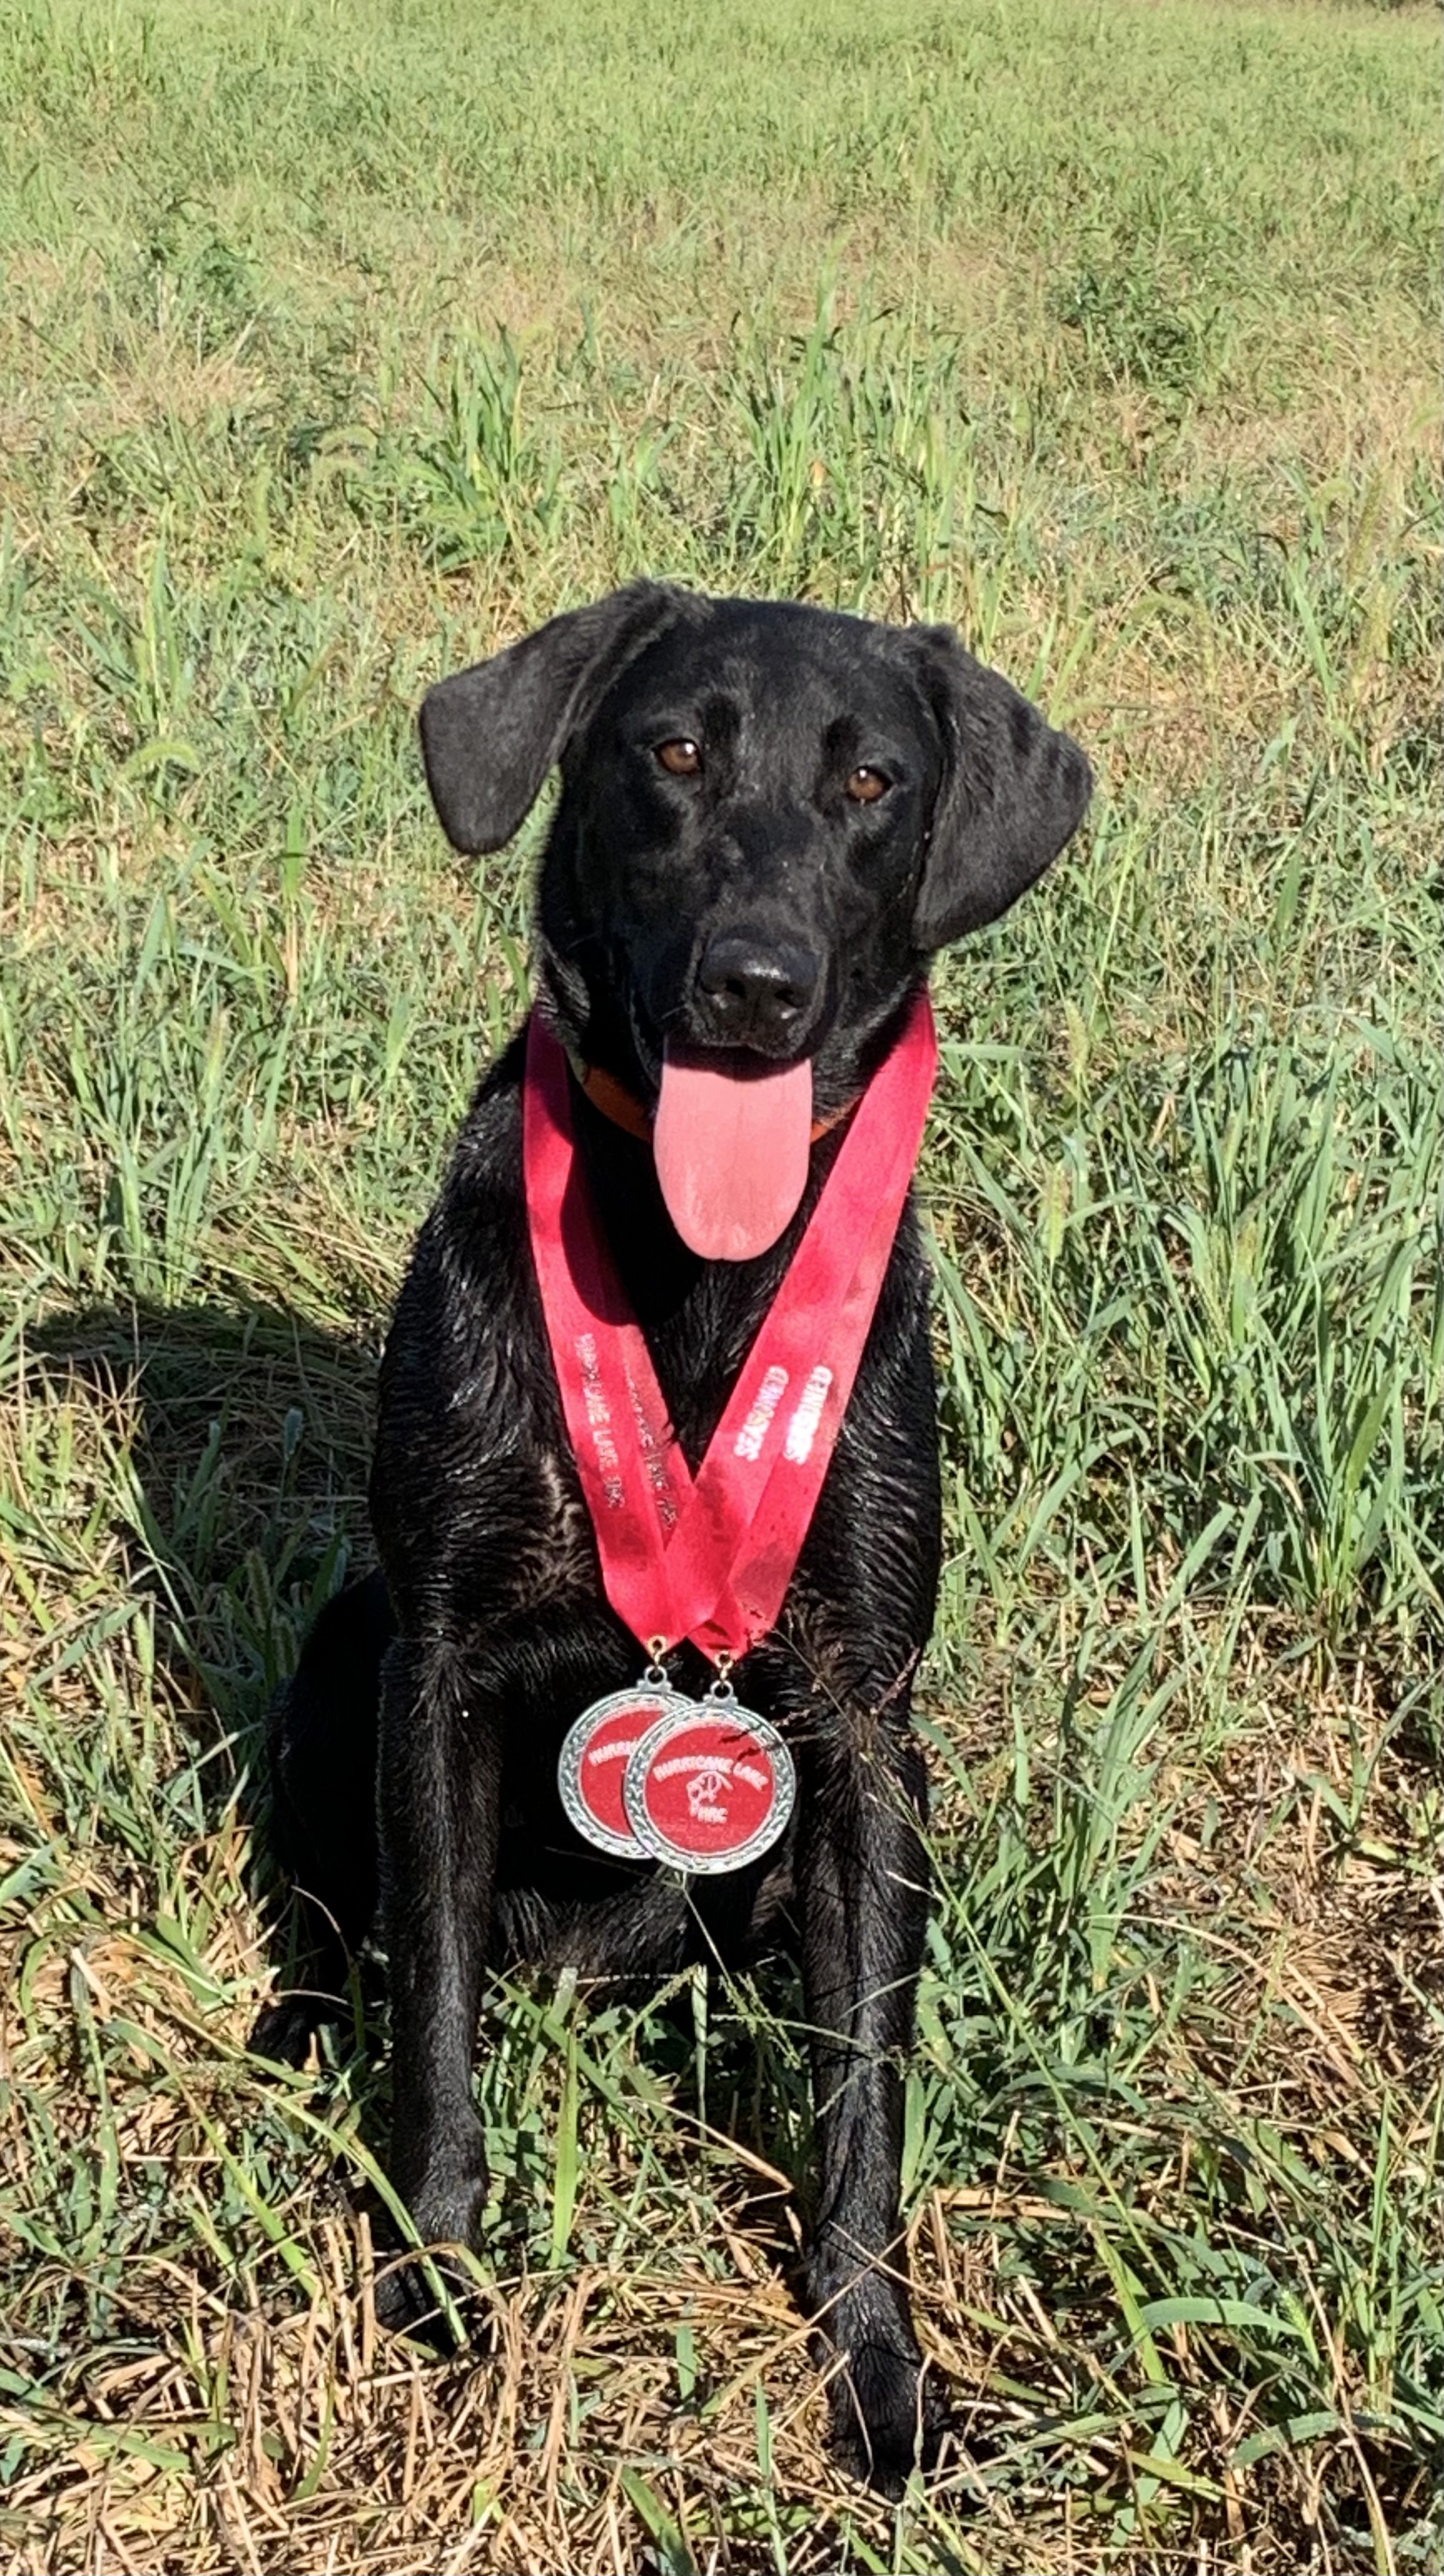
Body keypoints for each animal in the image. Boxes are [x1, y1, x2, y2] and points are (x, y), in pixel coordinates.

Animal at [253, 579, 1086, 2473]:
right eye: (675, 752)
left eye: (868, 783)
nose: (754, 984)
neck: (697, 1273)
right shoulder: (440, 1669)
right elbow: (431, 2016)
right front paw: (436, 2273)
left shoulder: (862, 1719)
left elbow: (862, 2096)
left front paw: (872, 2357)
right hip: (350, 1642)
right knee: (349, 1920)